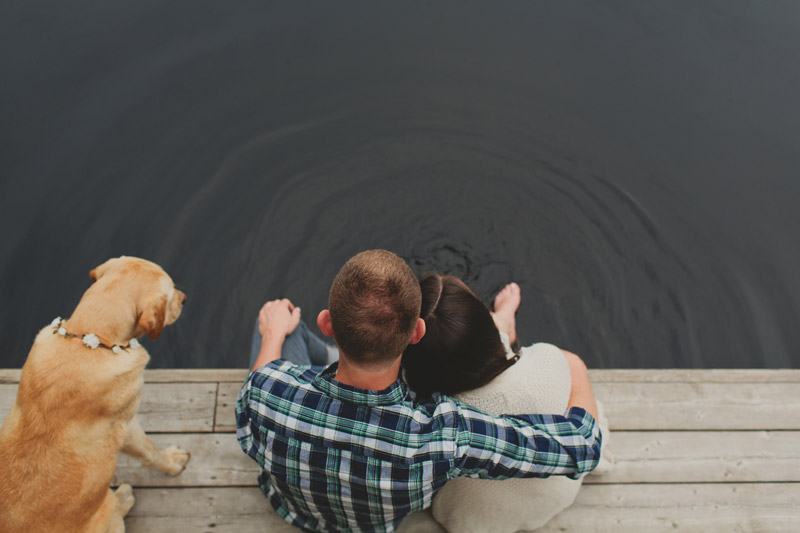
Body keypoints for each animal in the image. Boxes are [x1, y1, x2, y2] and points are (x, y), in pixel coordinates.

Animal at [0, 256, 190, 528]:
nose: (184, 298)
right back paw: (123, 498)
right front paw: (173, 463)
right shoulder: (126, 425)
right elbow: (151, 452)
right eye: (171, 292)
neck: (90, 336)